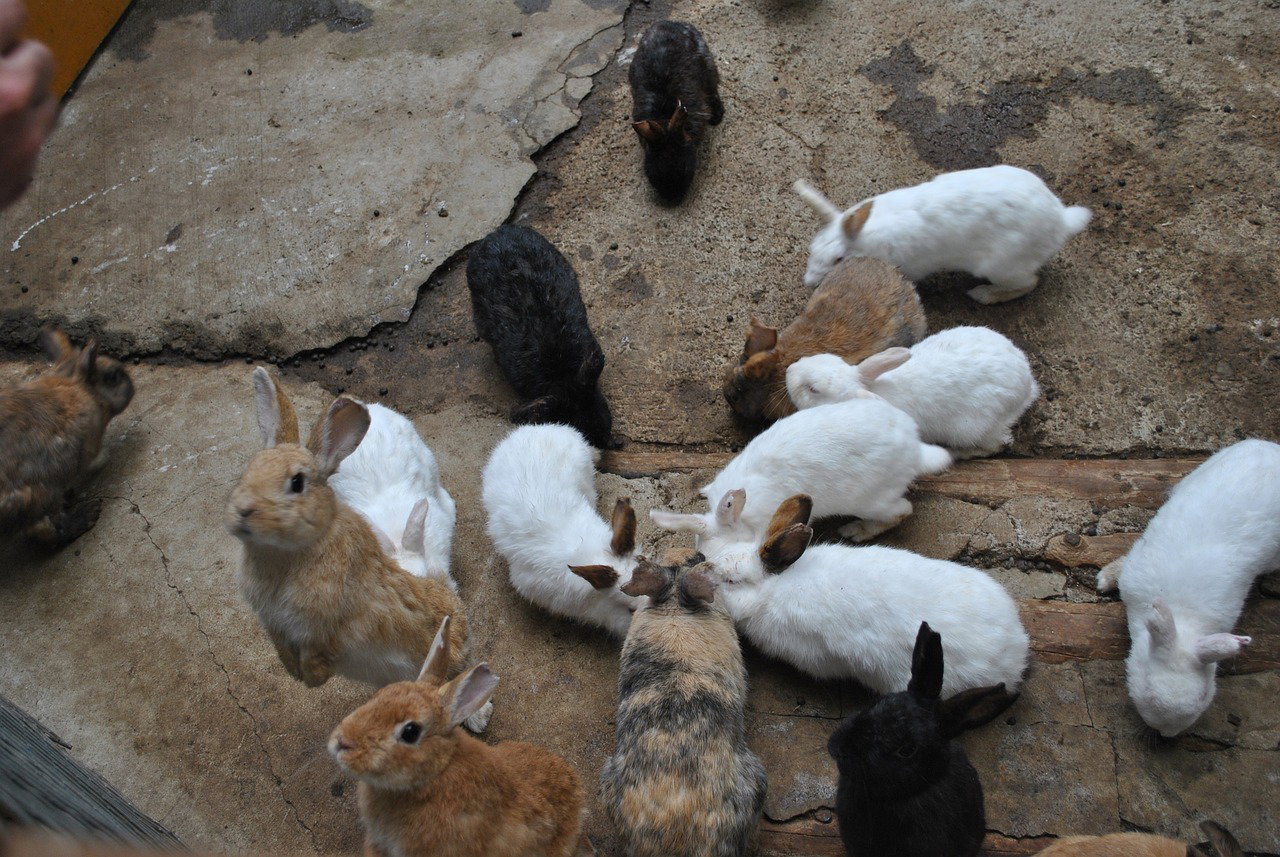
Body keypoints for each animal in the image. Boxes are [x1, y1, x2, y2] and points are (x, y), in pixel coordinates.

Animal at [630, 19, 723, 204]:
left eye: (686, 168)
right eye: (653, 174)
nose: (673, 200)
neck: (665, 118)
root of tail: (668, 22)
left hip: (708, 66)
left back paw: (717, 117)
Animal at [786, 326, 1039, 458]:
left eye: (813, 389)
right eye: (819, 357)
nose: (789, 371)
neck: (870, 389)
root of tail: (1026, 385)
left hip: (972, 428)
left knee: (994, 446)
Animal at [794, 165, 1092, 304]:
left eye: (838, 259)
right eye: (812, 249)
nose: (808, 282)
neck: (867, 238)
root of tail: (1061, 221)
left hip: (1001, 266)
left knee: (1029, 283)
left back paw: (983, 295)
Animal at [1095, 439, 1280, 737]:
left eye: (1204, 695)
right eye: (1149, 690)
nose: (1167, 735)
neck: (1180, 615)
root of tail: (1271, 447)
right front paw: (1104, 579)